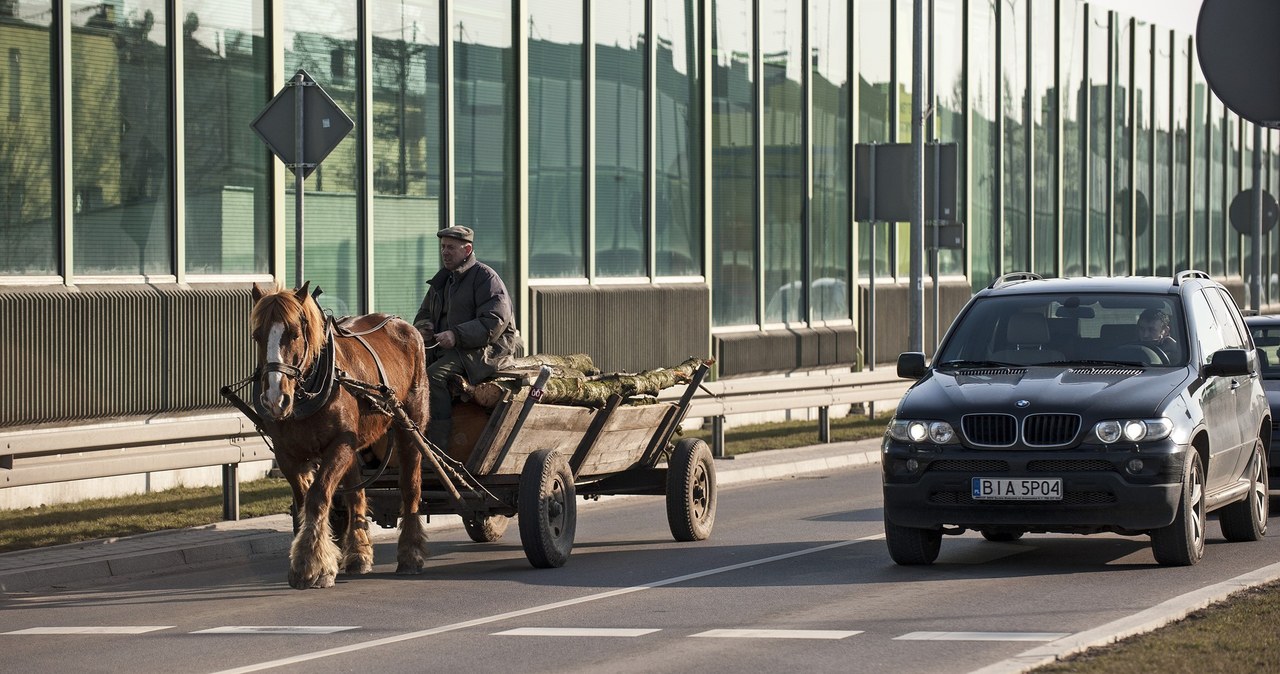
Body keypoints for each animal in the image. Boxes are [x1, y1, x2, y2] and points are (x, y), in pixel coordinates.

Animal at [249, 282, 435, 588]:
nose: (275, 399)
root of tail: (406, 326)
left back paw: (410, 554)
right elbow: (306, 502)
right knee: (356, 495)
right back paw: (359, 555)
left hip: (409, 425)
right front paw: (318, 561)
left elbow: (318, 496)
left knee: (410, 489)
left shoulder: (340, 444)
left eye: (294, 333)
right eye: (257, 336)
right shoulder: (287, 453)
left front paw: (309, 565)